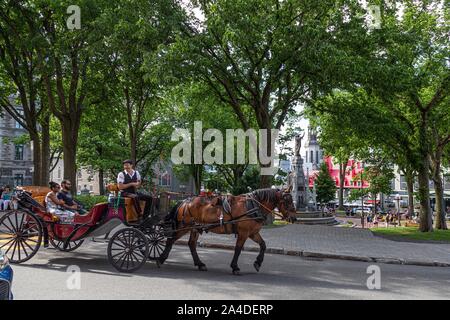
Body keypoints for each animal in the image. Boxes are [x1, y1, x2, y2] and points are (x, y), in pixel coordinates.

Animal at [156, 188, 298, 276]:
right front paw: (235, 267)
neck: (252, 206)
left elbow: (263, 245)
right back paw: (161, 259)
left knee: (191, 244)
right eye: (287, 201)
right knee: (170, 240)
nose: (294, 218)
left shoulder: (252, 233)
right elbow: (238, 249)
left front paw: (258, 263)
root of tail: (186, 201)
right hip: (184, 227)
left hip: (195, 228)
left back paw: (200, 264)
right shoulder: (243, 233)